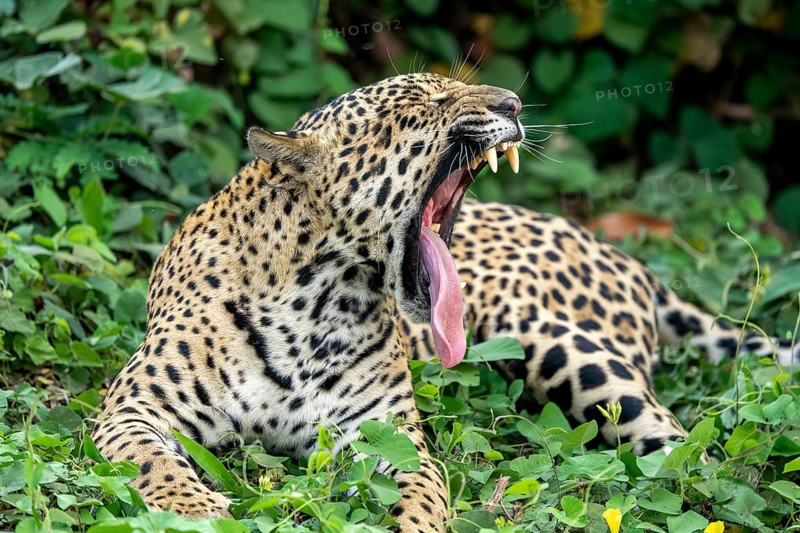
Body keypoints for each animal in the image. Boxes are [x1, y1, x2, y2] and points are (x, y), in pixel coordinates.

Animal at [91, 73, 525, 531]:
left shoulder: (385, 435)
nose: (514, 104)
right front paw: (195, 511)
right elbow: (151, 460)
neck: (317, 305)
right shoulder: (134, 406)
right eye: (425, 103)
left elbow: (419, 494)